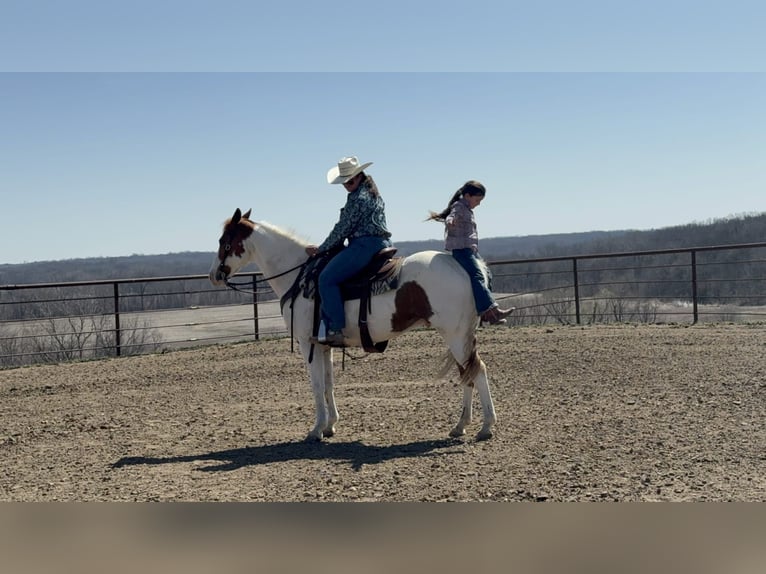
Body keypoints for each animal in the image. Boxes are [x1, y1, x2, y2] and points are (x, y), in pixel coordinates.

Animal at [209, 208, 498, 442]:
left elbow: (316, 386)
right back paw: (460, 426)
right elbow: (328, 384)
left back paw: (485, 427)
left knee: (478, 371)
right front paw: (330, 426)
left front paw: (315, 430)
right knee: (467, 373)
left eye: (225, 241)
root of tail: (466, 267)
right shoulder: (324, 345)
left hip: (455, 334)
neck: (299, 276)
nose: (214, 275)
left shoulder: (306, 344)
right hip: (459, 336)